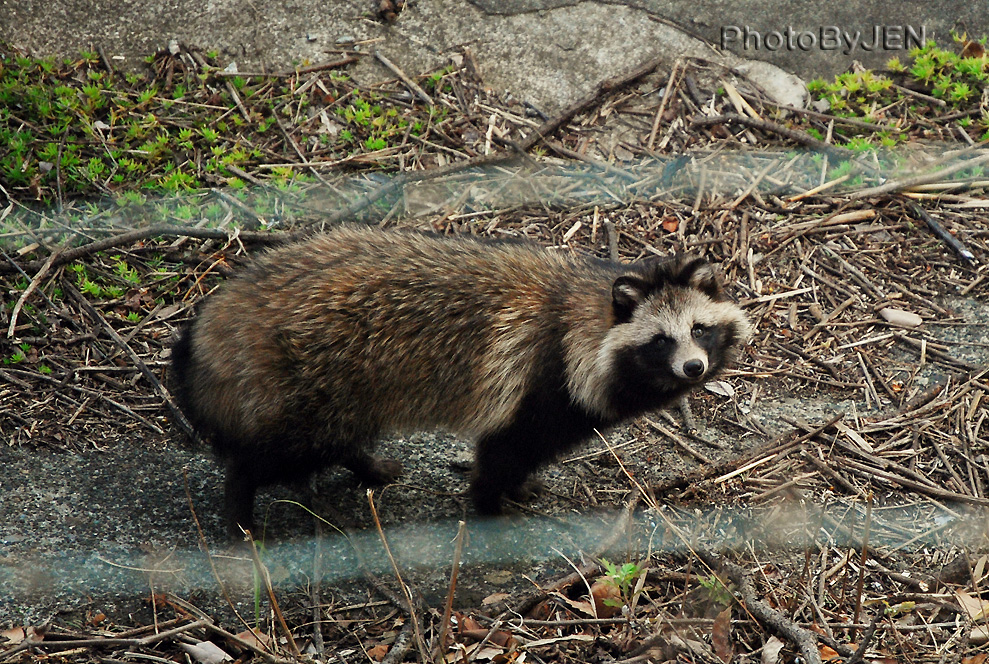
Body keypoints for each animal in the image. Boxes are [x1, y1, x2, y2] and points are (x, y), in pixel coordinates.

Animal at [170, 226, 748, 532]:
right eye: (661, 341)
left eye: (699, 329)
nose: (693, 368)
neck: (581, 313)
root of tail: (220, 318)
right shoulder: (538, 388)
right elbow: (502, 453)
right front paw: (492, 503)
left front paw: (516, 488)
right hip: (310, 380)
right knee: (277, 452)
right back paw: (240, 502)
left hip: (340, 391)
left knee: (337, 434)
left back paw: (365, 462)